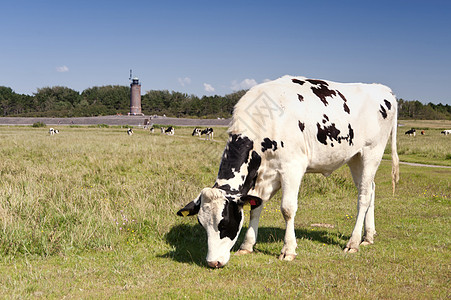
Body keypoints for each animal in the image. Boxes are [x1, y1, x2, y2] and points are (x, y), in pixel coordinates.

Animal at [177, 74, 400, 268]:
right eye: (202, 225)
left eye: (224, 224)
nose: (213, 262)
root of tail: (382, 89)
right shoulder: (262, 175)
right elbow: (255, 207)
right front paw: (247, 245)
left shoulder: (293, 167)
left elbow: (287, 209)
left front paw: (288, 250)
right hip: (355, 158)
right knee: (370, 189)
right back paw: (368, 236)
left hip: (372, 152)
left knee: (363, 197)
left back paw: (353, 242)